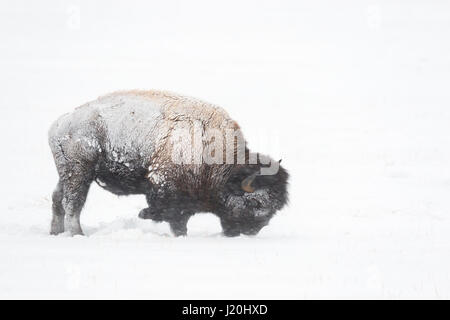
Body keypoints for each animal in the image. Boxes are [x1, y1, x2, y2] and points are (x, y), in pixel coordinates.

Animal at [49, 91, 288, 236]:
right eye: (256, 203)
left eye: (276, 208)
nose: (251, 231)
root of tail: (59, 123)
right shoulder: (165, 184)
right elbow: (170, 214)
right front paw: (145, 214)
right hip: (79, 172)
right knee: (72, 204)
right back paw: (78, 234)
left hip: (67, 174)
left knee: (58, 199)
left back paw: (56, 232)